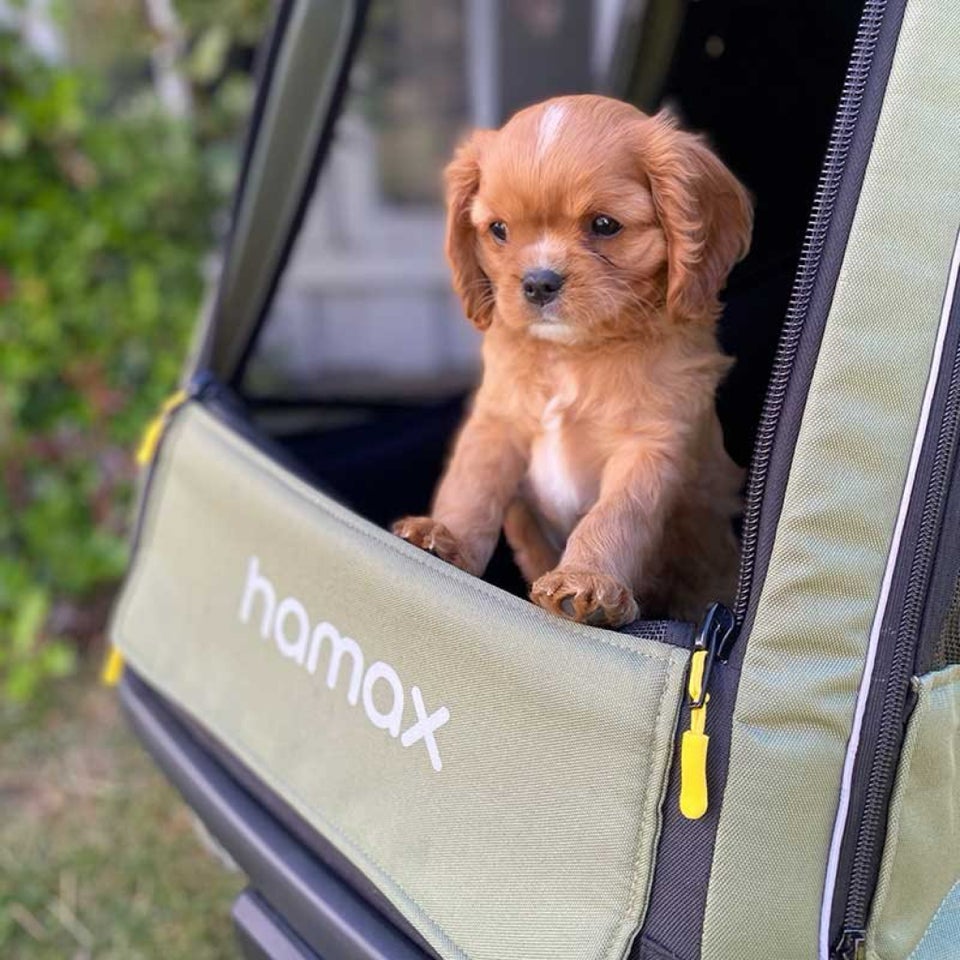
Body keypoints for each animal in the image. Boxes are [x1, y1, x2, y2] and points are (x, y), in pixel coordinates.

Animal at [394, 94, 752, 628]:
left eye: (604, 225)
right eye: (498, 230)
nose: (538, 282)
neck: (571, 352)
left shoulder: (649, 446)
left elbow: (617, 513)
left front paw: (586, 581)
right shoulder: (497, 421)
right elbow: (472, 483)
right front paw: (445, 536)